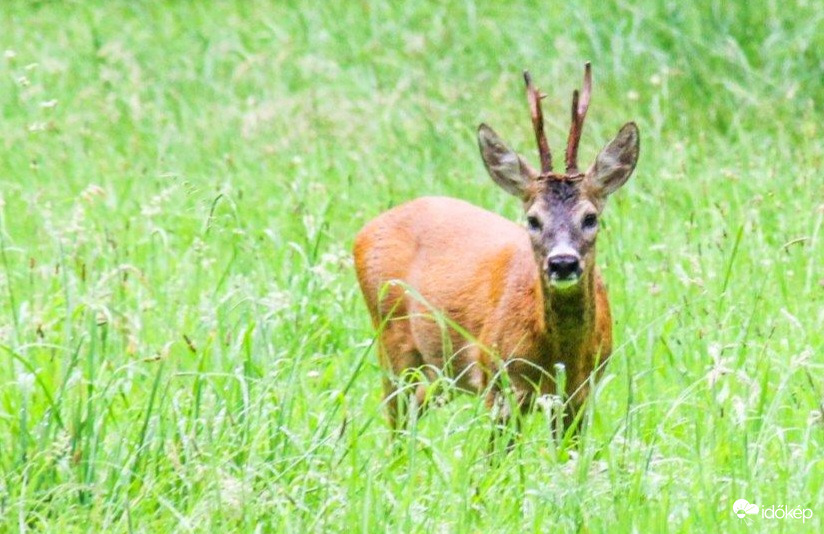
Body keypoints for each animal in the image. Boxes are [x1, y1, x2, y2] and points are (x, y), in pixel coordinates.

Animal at [350, 65, 640, 436]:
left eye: (590, 217)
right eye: (532, 219)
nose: (562, 263)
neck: (561, 352)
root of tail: (364, 231)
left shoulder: (579, 394)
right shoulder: (499, 381)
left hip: (439, 372)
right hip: (392, 342)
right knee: (396, 423)